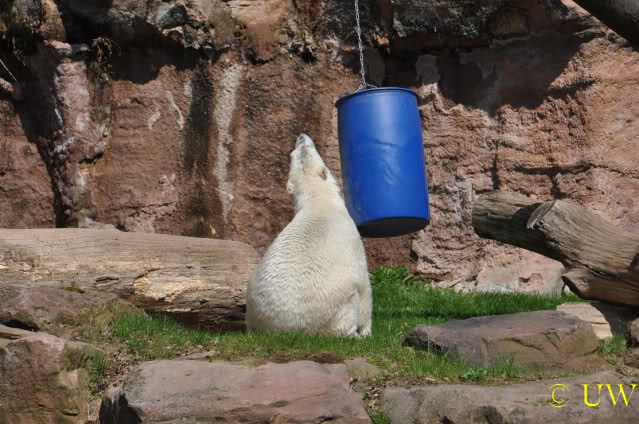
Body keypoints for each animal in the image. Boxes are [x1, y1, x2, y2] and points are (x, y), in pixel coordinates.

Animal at [245, 133, 373, 337]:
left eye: (294, 152)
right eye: (309, 149)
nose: (301, 135)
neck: (318, 200)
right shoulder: (352, 239)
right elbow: (365, 288)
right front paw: (368, 331)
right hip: (336, 303)